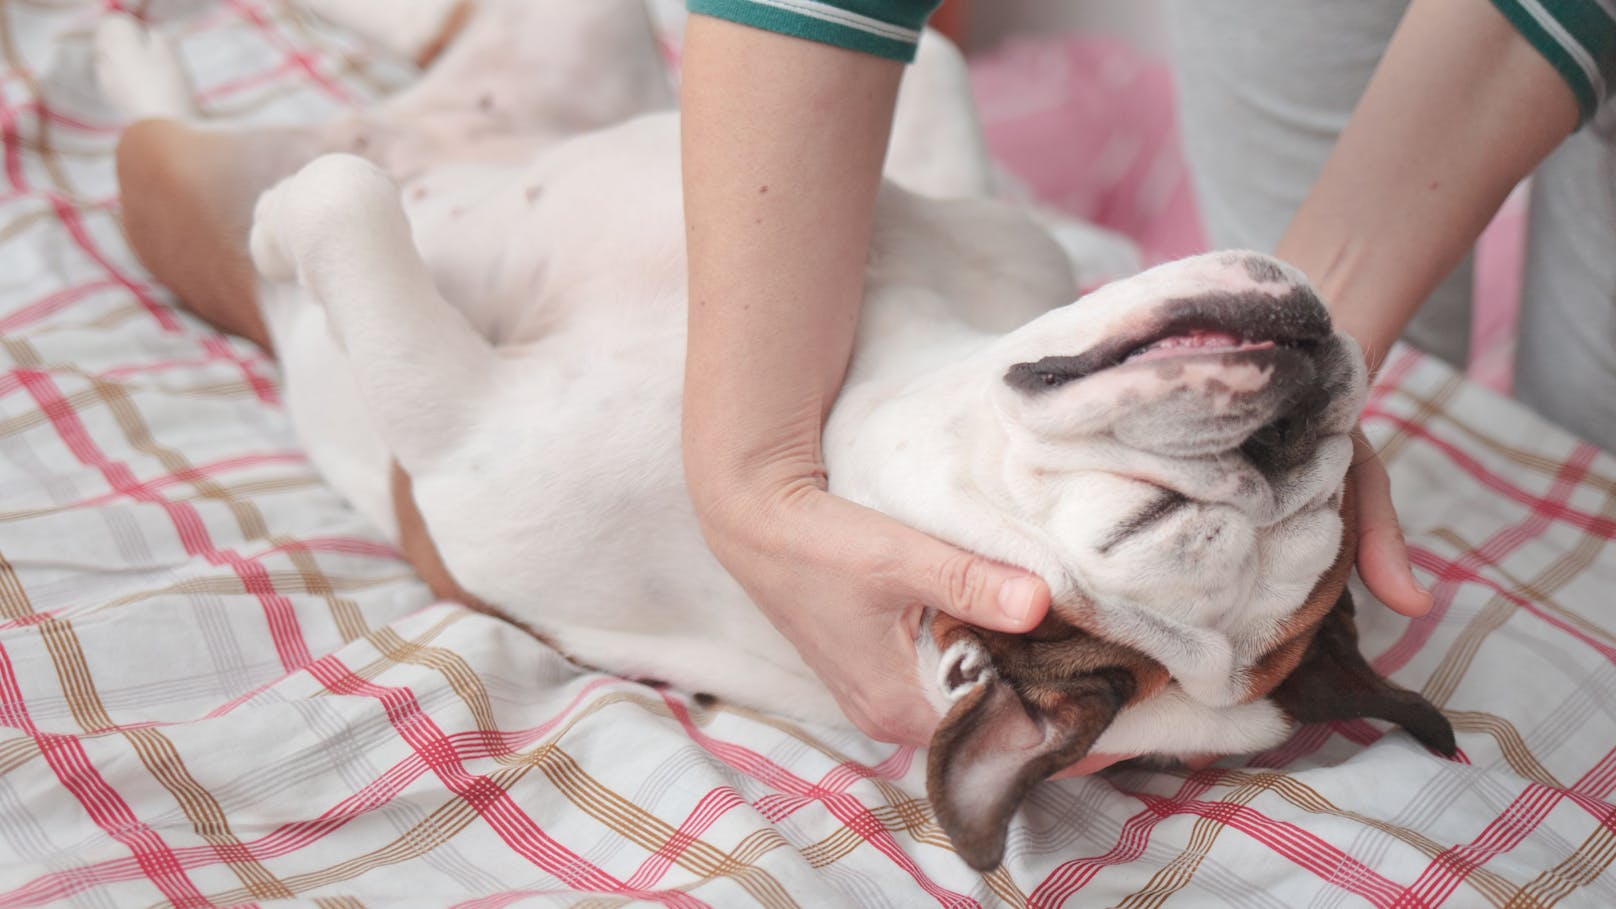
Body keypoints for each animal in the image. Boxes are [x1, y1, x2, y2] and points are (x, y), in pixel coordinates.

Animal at [104, 0, 1454, 866]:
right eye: (1331, 478)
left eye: (1146, 525)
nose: (1286, 426)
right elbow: (936, 68)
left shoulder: (458, 432)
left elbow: (342, 204)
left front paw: (286, 237)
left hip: (177, 190)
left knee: (226, 147)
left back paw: (152, 73)